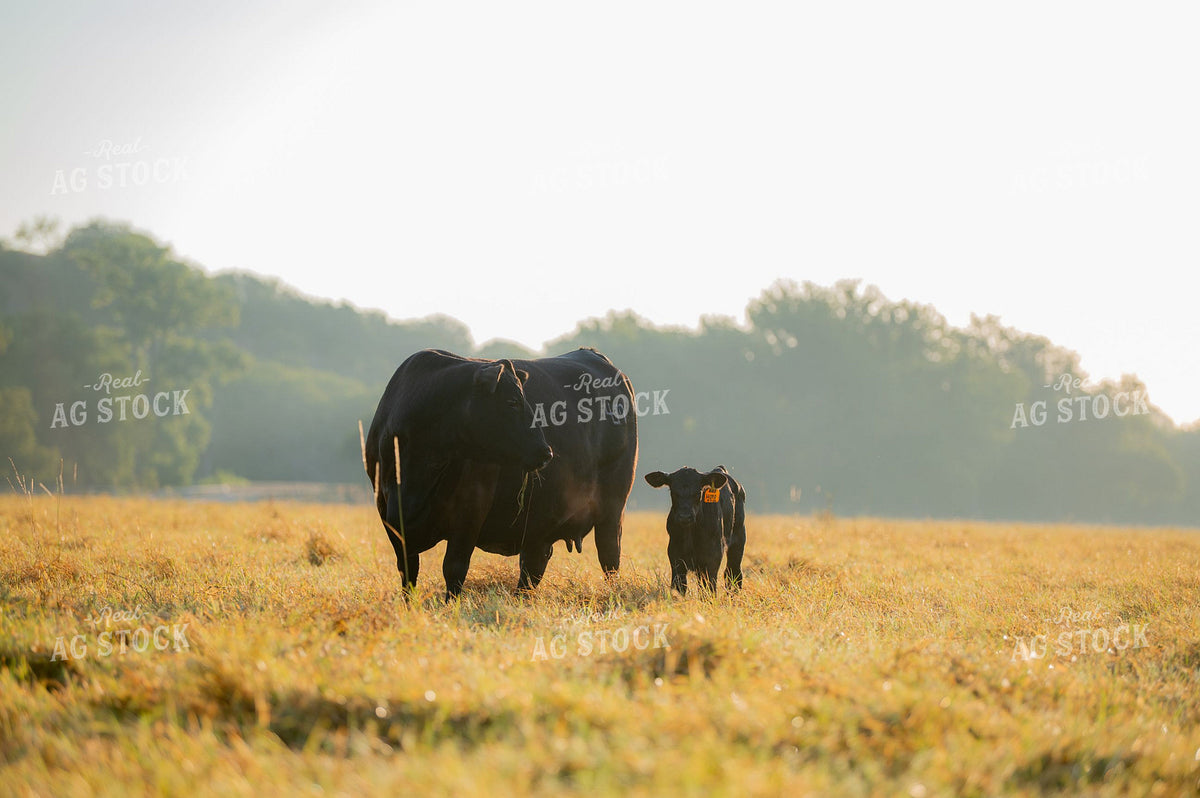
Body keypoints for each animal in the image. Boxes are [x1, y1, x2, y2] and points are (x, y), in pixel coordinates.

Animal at [365, 348, 638, 601]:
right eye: (512, 402)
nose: (546, 452)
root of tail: (593, 355)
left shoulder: (470, 510)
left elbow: (454, 569)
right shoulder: (390, 516)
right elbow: (408, 572)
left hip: (612, 512)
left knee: (609, 558)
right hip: (539, 524)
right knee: (532, 567)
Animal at [644, 465, 746, 595]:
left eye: (698, 492)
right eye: (673, 492)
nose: (685, 516)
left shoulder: (713, 555)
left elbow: (709, 587)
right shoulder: (675, 555)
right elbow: (679, 586)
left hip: (738, 540)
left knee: (733, 573)